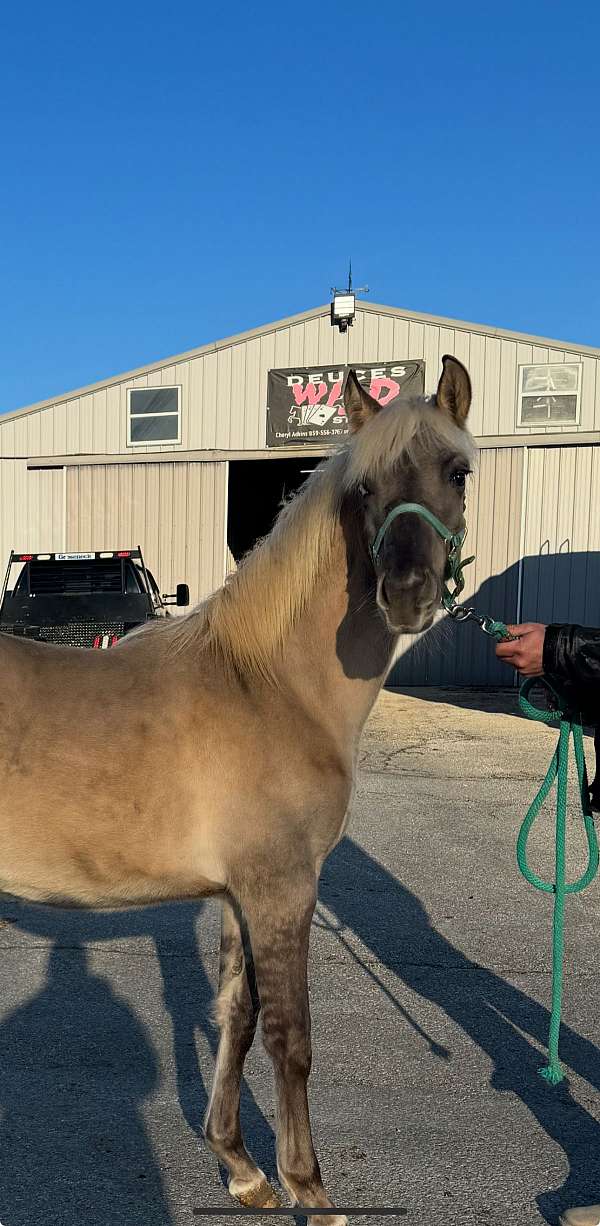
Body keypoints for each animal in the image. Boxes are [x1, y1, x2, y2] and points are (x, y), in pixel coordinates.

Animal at [1, 355, 473, 1226]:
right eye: (363, 487)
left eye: (457, 470)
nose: (407, 593)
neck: (270, 684)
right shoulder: (282, 889)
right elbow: (293, 1037)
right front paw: (311, 1191)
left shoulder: (237, 896)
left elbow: (238, 1016)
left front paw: (243, 1169)